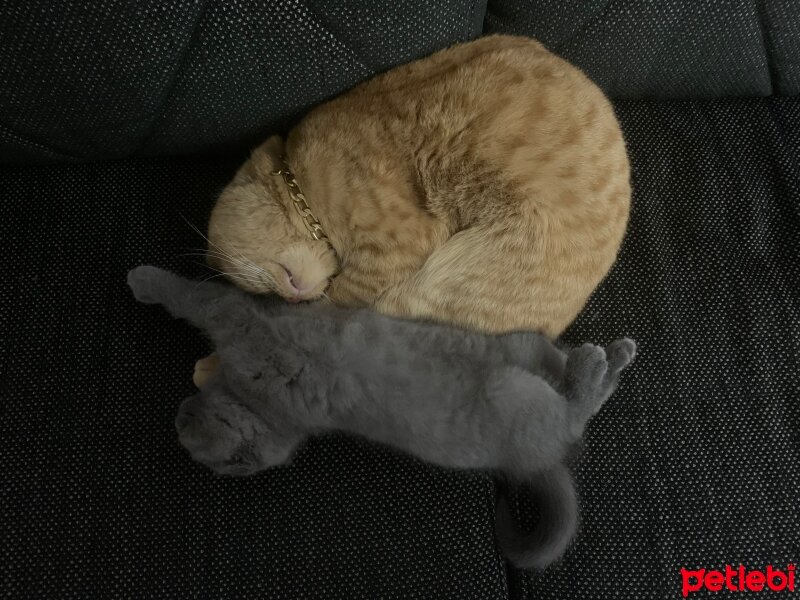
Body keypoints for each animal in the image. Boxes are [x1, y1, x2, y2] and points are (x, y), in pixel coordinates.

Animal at [126, 266, 636, 568]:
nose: (179, 414)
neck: (267, 408)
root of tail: (542, 459)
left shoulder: (242, 320)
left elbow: (195, 296)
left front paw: (144, 280)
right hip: (520, 365)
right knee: (568, 394)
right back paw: (607, 361)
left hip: (513, 380)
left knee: (573, 410)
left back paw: (597, 362)